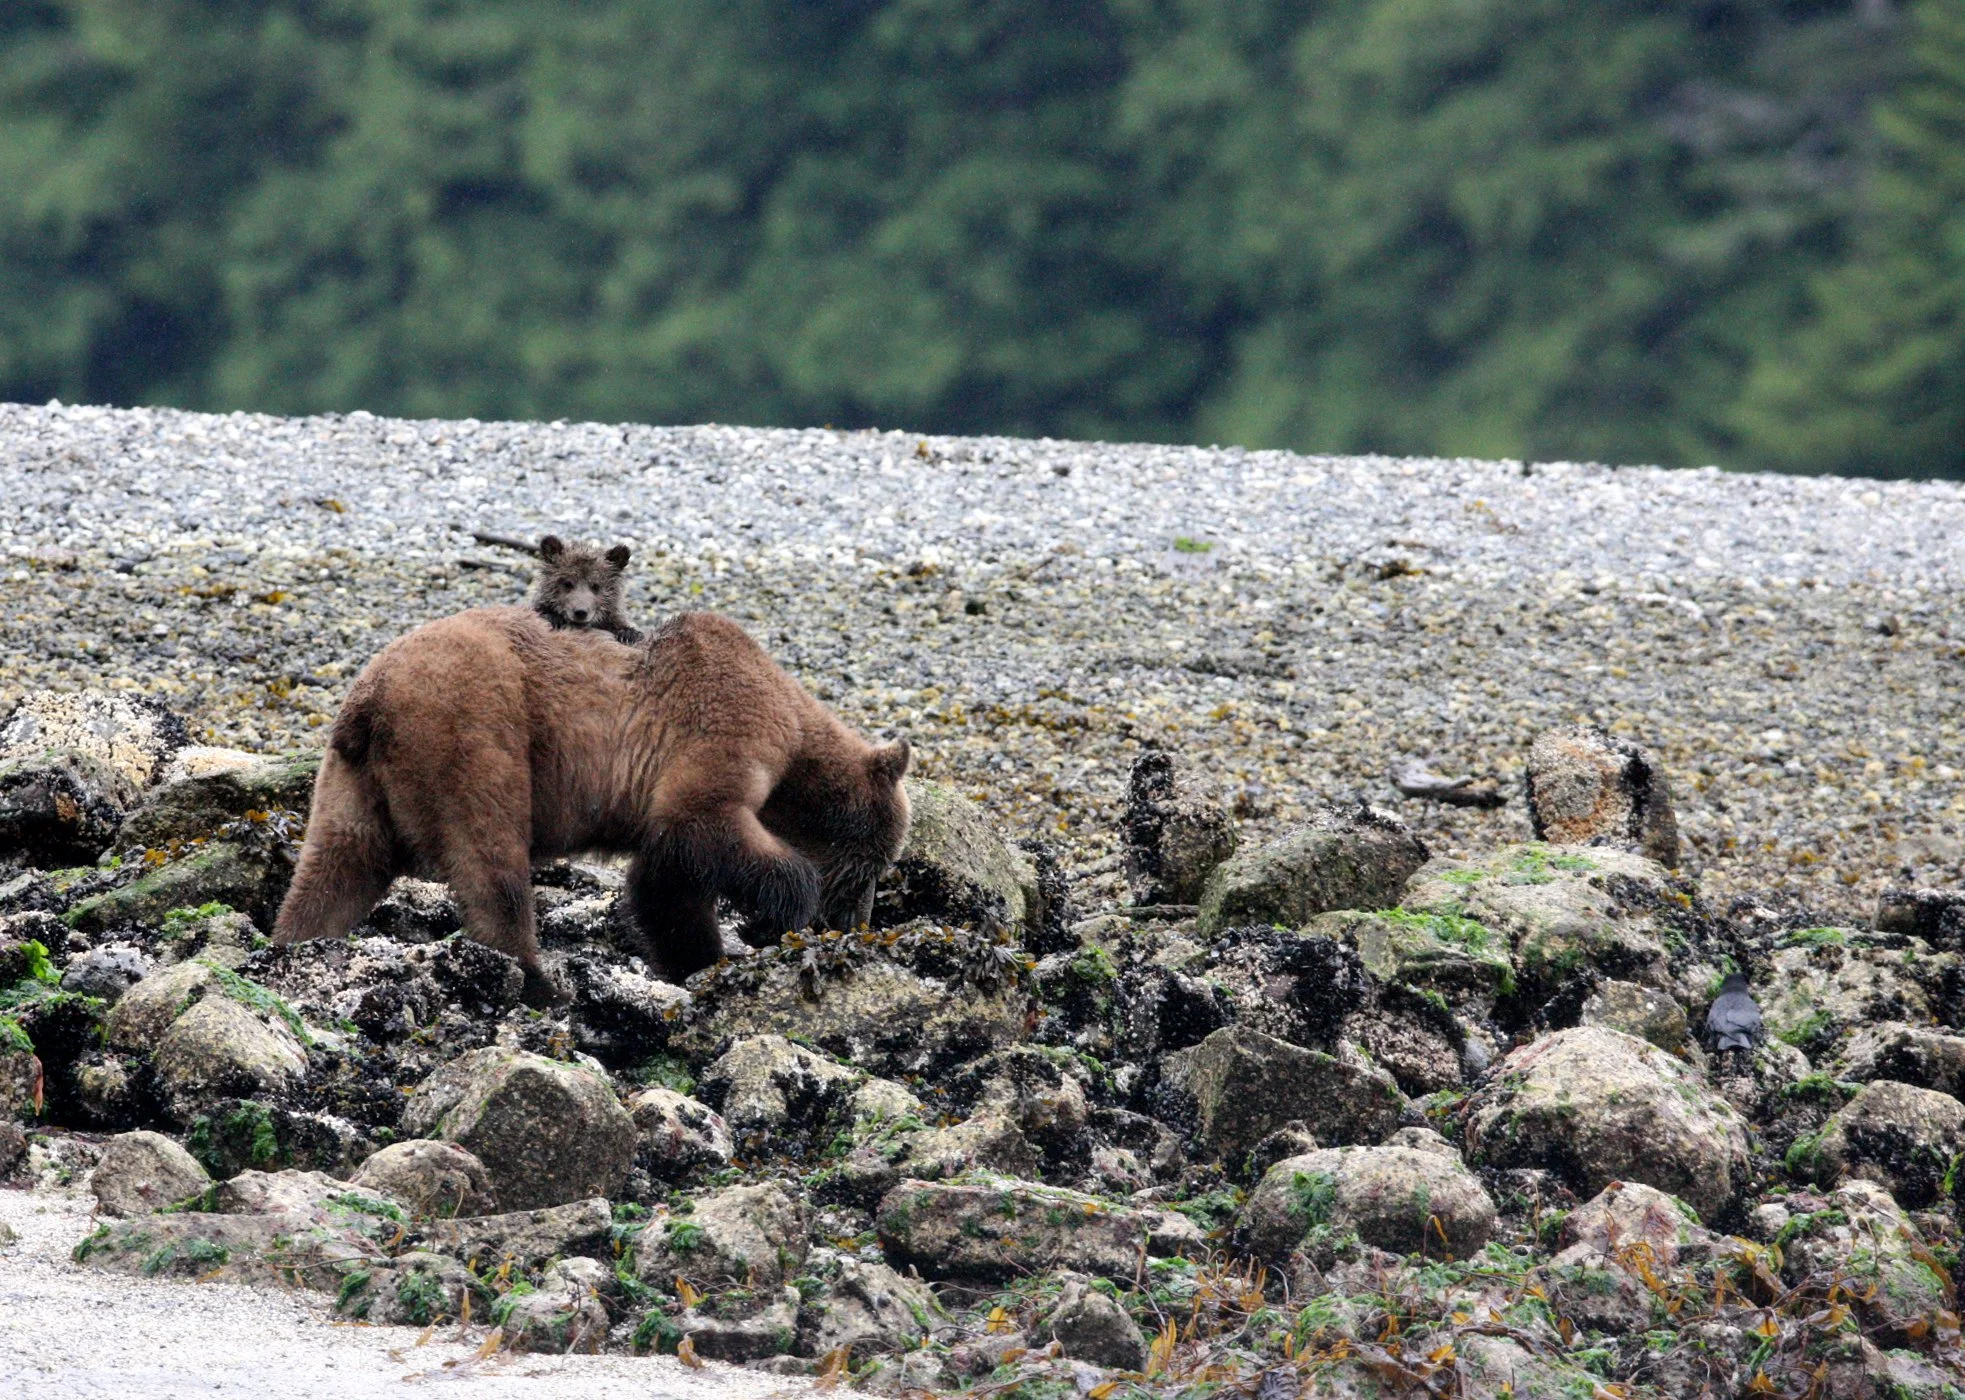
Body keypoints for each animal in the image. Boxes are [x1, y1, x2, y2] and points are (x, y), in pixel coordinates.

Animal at [271, 607, 911, 1005]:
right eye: (874, 866)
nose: (858, 923)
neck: (796, 738)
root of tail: (371, 698)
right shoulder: (725, 727)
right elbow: (701, 821)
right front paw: (782, 911)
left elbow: (666, 883)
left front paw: (700, 960)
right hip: (474, 728)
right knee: (490, 861)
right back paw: (539, 981)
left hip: (352, 779)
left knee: (338, 866)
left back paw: (290, 943)